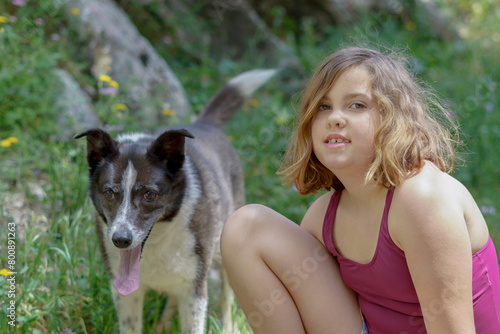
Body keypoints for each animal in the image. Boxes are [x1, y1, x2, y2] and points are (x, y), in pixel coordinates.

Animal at [75, 68, 276, 334]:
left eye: (149, 194)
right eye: (109, 193)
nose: (120, 240)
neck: (157, 241)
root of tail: (204, 124)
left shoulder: (194, 292)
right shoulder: (126, 295)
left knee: (227, 293)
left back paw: (228, 325)